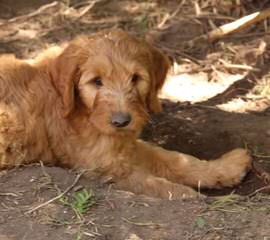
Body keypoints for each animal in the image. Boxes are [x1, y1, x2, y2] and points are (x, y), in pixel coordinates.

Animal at [0, 29, 251, 199]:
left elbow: (172, 158)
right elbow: (150, 183)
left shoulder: (124, 145)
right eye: (96, 81)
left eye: (135, 78)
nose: (121, 121)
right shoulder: (103, 166)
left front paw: (225, 168)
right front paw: (189, 197)